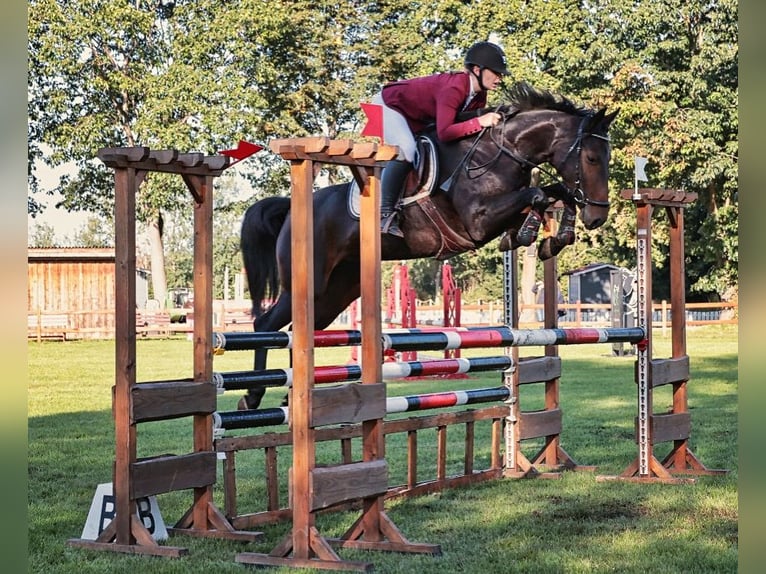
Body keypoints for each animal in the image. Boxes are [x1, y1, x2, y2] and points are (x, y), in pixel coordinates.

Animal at [237, 83, 620, 412]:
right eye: (591, 158)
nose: (598, 216)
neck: (500, 153)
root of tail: (290, 208)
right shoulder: (477, 223)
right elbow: (538, 193)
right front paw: (529, 233)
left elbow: (555, 193)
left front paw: (553, 236)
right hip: (307, 283)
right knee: (266, 324)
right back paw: (254, 395)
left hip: (336, 293)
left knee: (301, 330)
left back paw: (291, 396)